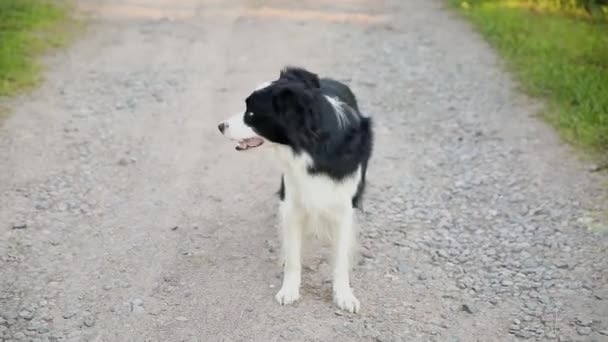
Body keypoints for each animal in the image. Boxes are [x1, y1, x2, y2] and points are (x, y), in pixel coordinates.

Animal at [216, 66, 372, 312]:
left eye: (251, 113)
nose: (220, 126)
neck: (312, 146)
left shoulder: (343, 206)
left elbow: (340, 258)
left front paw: (344, 295)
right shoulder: (292, 202)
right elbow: (292, 256)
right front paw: (289, 290)